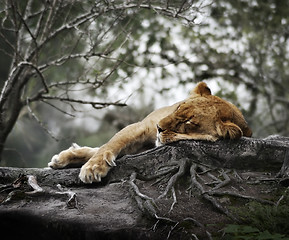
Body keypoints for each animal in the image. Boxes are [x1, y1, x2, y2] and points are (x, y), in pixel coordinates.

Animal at [48, 81, 251, 183]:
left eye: (189, 122)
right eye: (179, 107)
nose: (159, 127)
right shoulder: (140, 127)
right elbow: (109, 146)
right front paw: (92, 168)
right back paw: (62, 158)